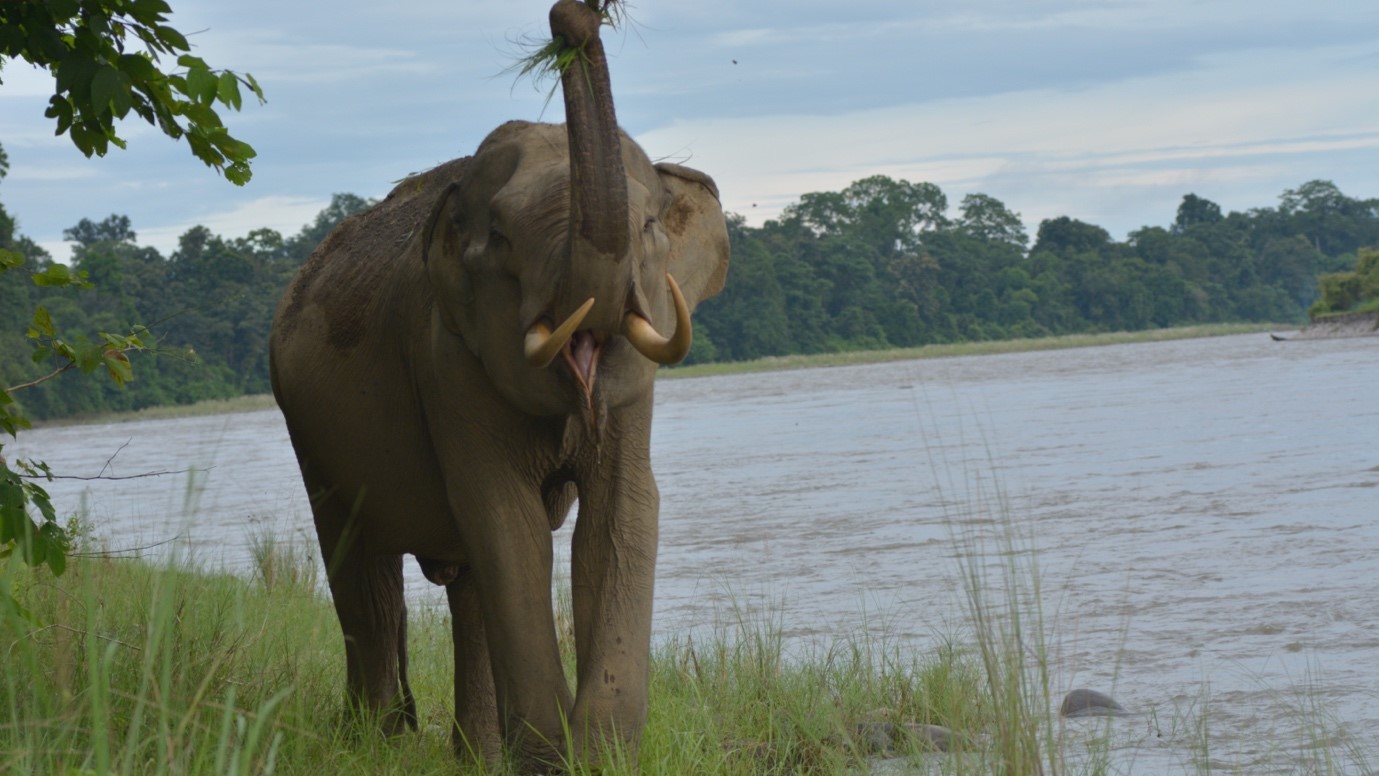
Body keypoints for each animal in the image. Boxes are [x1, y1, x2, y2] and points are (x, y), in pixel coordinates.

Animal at [268, 0, 728, 767]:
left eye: (649, 225)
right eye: (504, 239)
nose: (571, 17)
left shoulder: (633, 388)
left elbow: (621, 515)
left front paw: (598, 757)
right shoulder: (446, 359)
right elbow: (505, 520)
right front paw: (550, 759)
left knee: (465, 587)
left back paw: (474, 755)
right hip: (309, 434)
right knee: (365, 574)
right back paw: (377, 741)